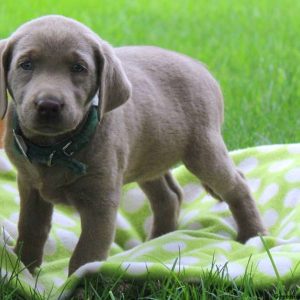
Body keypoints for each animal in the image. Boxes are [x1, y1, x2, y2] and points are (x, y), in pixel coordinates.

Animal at [0, 15, 266, 276]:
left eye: (79, 68)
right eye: (26, 64)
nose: (48, 105)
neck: (56, 149)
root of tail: (200, 66)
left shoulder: (101, 200)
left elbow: (87, 252)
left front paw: (78, 280)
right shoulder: (29, 186)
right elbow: (31, 230)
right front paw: (23, 271)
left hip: (203, 150)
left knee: (237, 185)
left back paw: (254, 235)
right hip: (149, 156)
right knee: (169, 197)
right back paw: (157, 241)